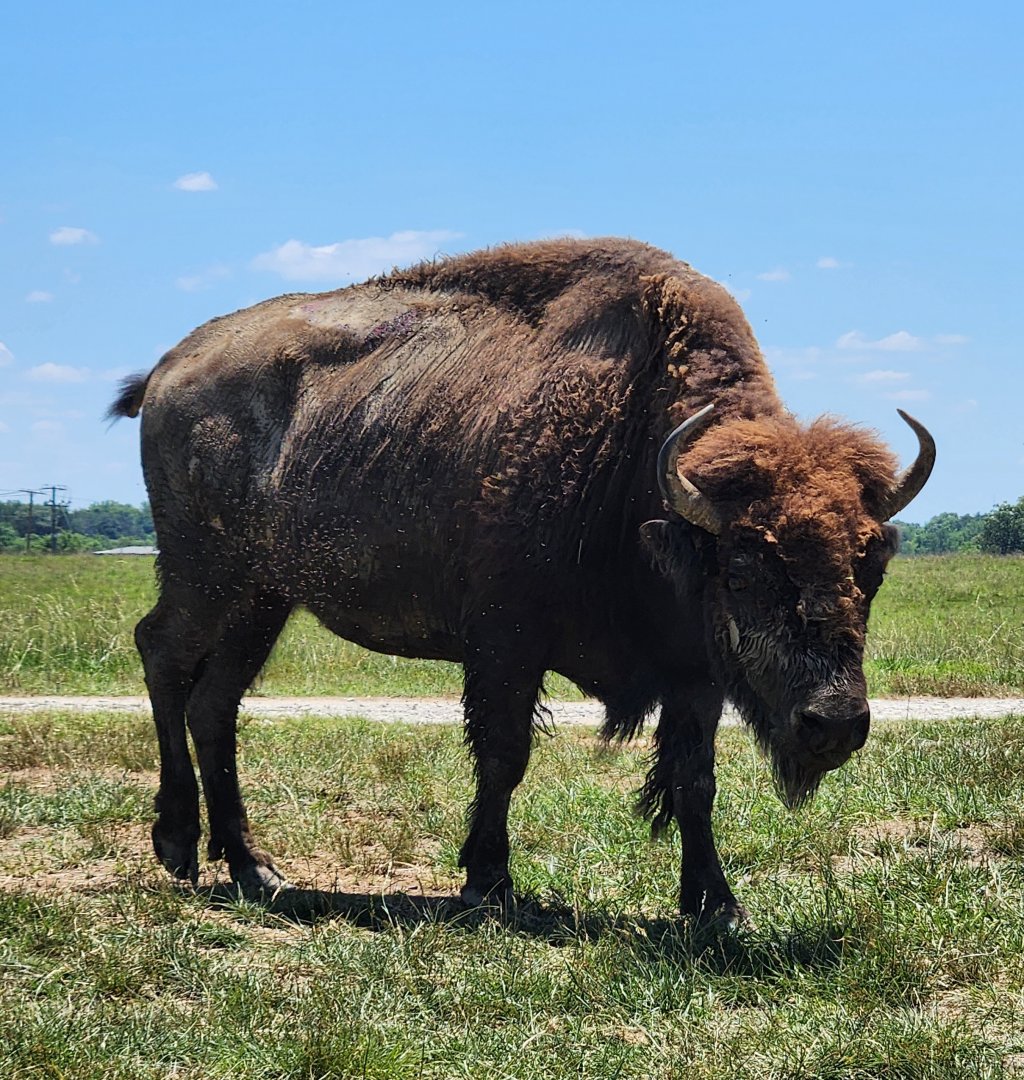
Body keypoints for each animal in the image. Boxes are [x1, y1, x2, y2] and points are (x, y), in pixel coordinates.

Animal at [110, 238, 934, 925]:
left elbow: (693, 781)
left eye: (871, 566)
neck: (640, 463)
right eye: (739, 567)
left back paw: (255, 869)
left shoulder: (694, 673)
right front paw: (489, 884)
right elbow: (505, 755)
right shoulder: (506, 645)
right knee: (162, 655)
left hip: (263, 599)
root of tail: (172, 366)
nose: (834, 723)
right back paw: (179, 846)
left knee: (216, 701)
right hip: (207, 577)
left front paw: (717, 907)